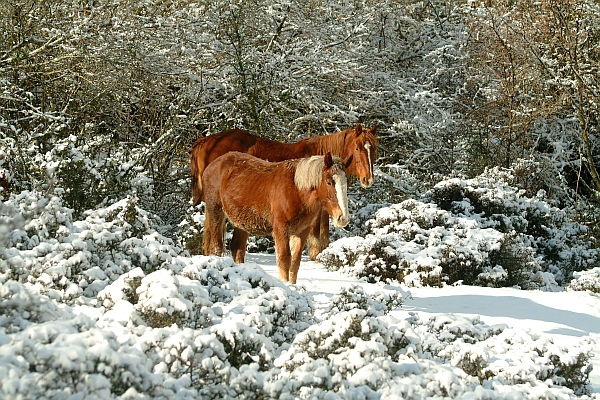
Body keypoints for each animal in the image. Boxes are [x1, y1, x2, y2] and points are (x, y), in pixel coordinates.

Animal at [203, 152, 352, 282]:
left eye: (346, 183)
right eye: (329, 182)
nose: (342, 218)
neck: (296, 190)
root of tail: (212, 165)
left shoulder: (301, 231)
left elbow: (295, 263)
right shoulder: (281, 229)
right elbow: (284, 259)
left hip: (242, 222)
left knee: (237, 249)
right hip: (215, 212)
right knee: (216, 248)